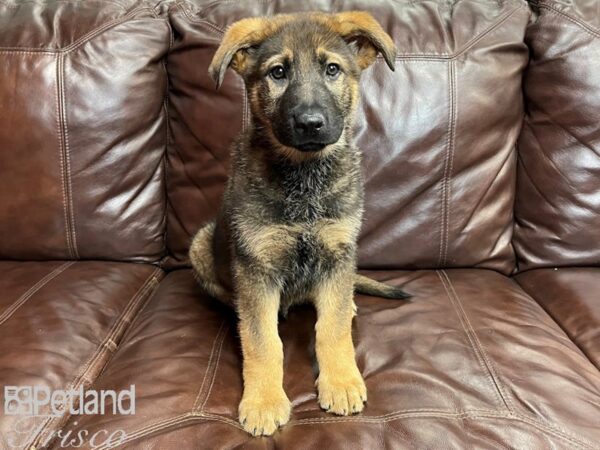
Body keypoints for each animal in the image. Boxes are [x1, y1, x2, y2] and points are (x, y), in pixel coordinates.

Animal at [190, 12, 410, 438]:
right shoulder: (256, 265)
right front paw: (263, 401)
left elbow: (332, 329)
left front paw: (341, 381)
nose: (310, 123)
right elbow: (263, 342)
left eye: (332, 69)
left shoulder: (338, 252)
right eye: (278, 72)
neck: (303, 178)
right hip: (201, 242)